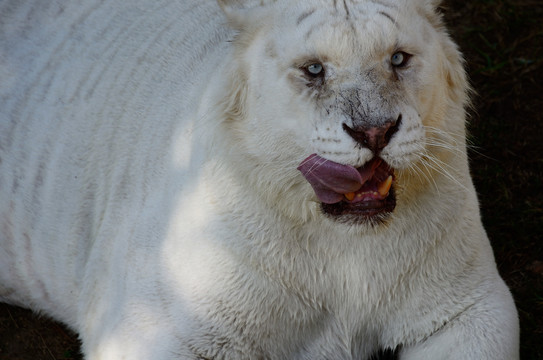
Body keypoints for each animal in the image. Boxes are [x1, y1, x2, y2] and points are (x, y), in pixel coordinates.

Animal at [0, 0, 520, 358]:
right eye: (314, 69)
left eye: (397, 59)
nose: (374, 130)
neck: (344, 250)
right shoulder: (149, 329)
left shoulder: (471, 306)